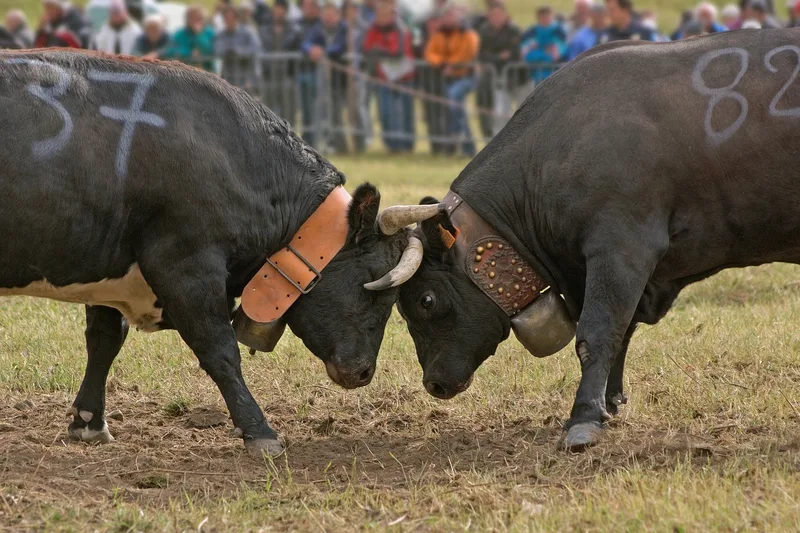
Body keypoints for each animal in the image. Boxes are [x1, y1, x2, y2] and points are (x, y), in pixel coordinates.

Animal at [0, 49, 420, 456]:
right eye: (376, 284)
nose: (364, 371)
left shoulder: (109, 270)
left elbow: (104, 339)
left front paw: (89, 421)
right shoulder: (185, 267)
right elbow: (220, 349)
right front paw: (259, 431)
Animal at [366, 29, 800, 450]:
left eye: (426, 300)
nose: (433, 382)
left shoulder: (621, 248)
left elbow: (598, 332)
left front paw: (584, 418)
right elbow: (622, 332)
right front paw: (610, 402)